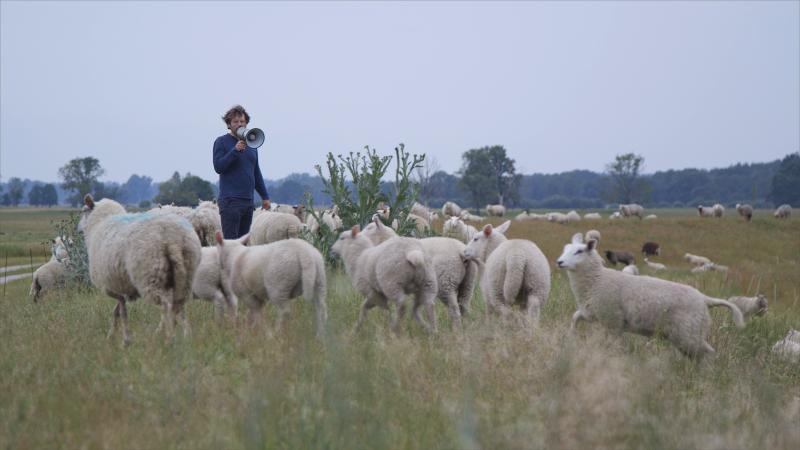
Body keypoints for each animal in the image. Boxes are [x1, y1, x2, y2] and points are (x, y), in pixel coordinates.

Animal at [78, 193, 202, 344]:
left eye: (84, 210)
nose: (78, 229)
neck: (99, 224)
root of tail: (171, 236)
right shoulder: (122, 286)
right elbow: (117, 310)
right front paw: (114, 335)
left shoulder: (112, 286)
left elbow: (122, 311)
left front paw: (124, 339)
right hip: (185, 274)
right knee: (179, 306)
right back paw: (186, 336)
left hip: (150, 274)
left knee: (167, 306)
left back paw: (168, 337)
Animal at [556, 234, 744, 360]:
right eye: (565, 249)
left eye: (579, 251)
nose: (559, 262)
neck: (597, 280)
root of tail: (705, 299)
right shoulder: (592, 313)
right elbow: (575, 317)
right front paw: (571, 336)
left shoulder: (612, 321)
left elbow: (612, 345)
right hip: (685, 335)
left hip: (690, 333)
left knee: (709, 354)